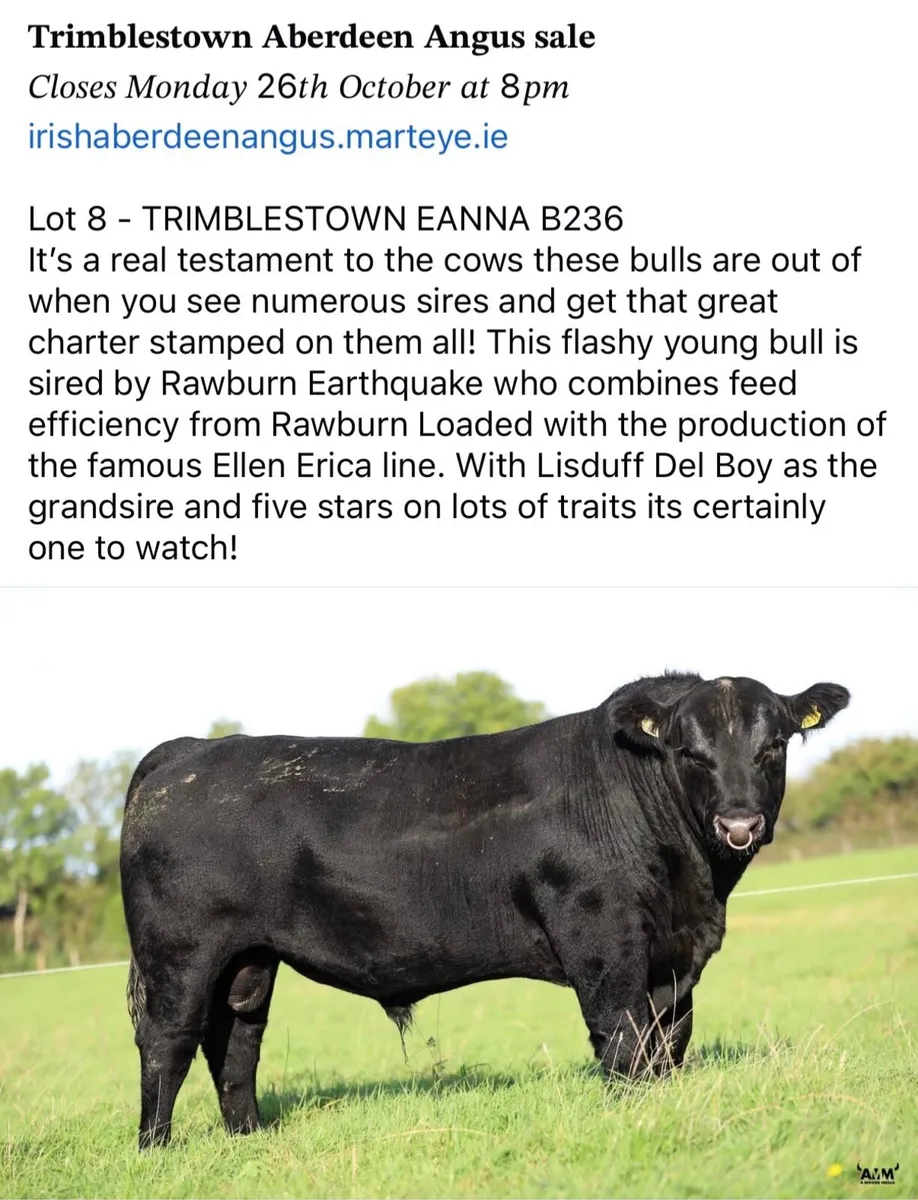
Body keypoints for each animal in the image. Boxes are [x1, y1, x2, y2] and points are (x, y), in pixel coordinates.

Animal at [120, 671, 849, 1148]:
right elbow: (623, 1039)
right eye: (689, 752)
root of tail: (189, 750)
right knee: (168, 1041)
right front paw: (632, 1115)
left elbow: (669, 1041)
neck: (695, 884)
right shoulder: (604, 942)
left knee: (235, 1042)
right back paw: (157, 1148)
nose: (739, 822)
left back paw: (250, 1137)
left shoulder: (675, 957)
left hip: (248, 960)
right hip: (179, 953)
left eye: (773, 746)